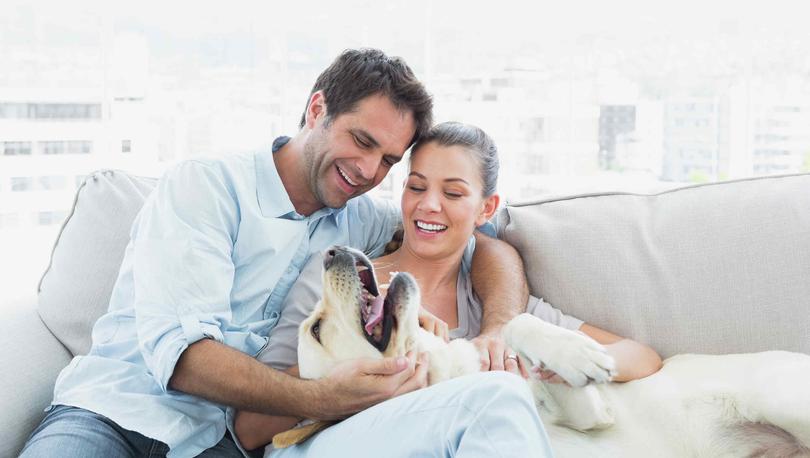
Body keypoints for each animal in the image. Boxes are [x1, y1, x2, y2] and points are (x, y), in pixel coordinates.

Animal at [292, 247, 808, 458]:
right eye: (316, 329)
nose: (332, 251)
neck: (451, 373)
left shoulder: (594, 410)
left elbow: (517, 325)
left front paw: (571, 353)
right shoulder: (592, 415)